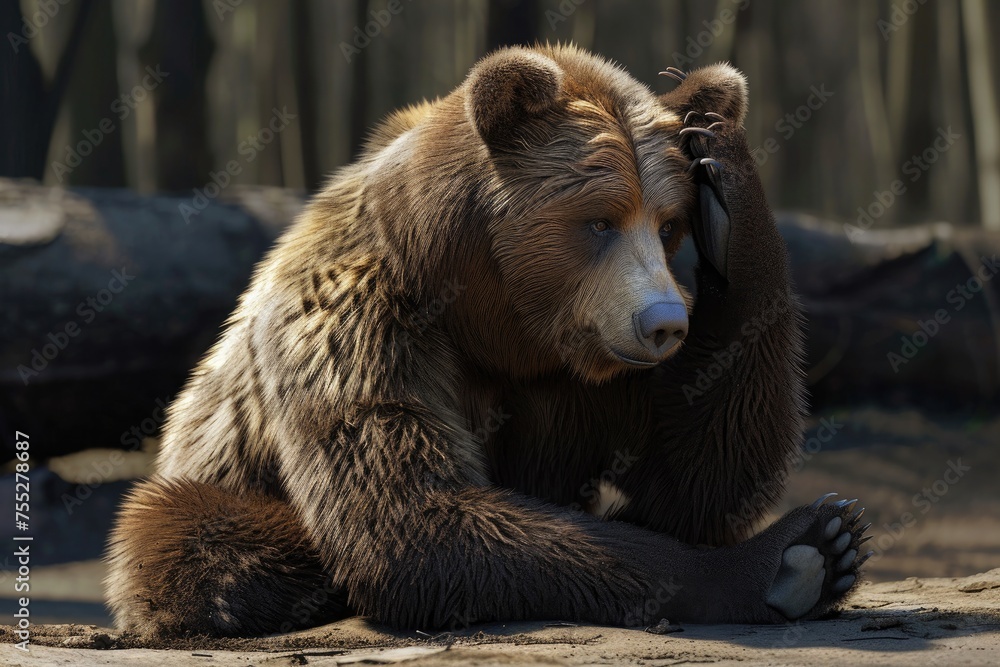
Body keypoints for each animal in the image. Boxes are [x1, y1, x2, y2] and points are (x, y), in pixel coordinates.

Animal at [105, 44, 872, 637]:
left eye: (667, 222)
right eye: (600, 219)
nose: (663, 322)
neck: (496, 318)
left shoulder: (592, 366)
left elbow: (695, 467)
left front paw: (723, 170)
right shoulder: (363, 323)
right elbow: (412, 511)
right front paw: (793, 552)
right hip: (206, 466)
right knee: (185, 530)